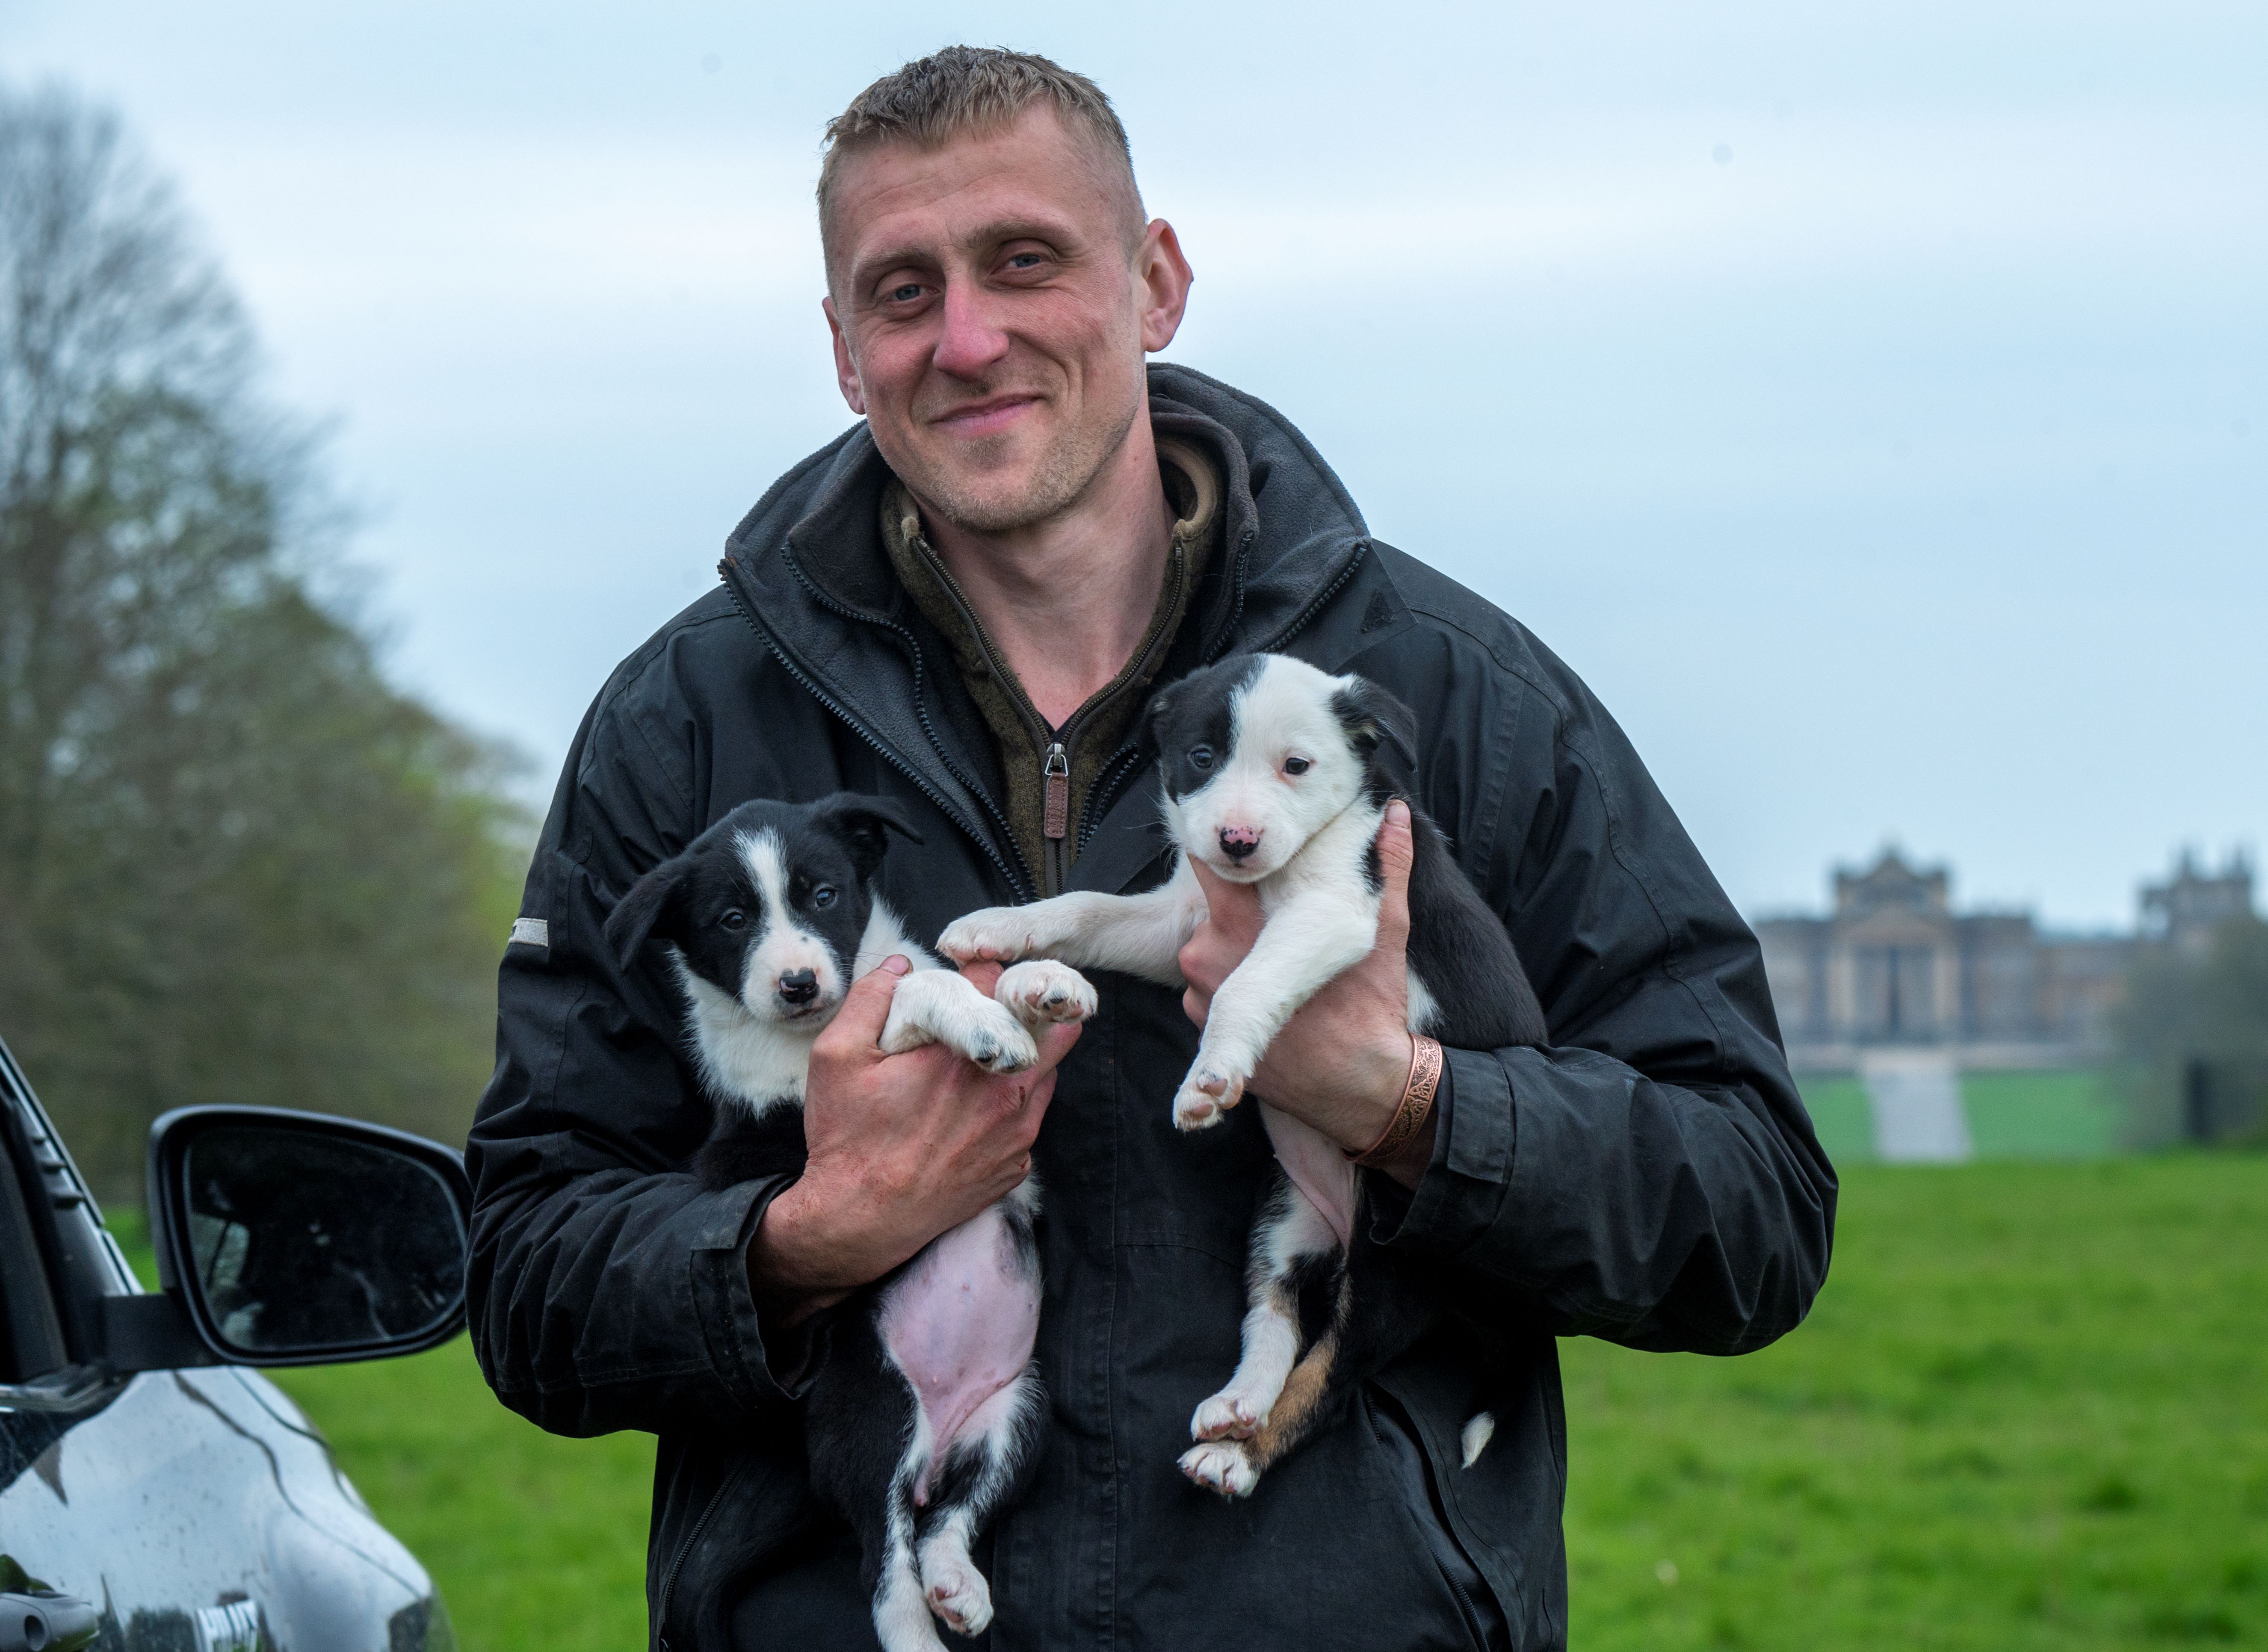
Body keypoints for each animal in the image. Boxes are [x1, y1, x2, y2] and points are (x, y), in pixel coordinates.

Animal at [603, 794, 1097, 1643]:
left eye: (822, 895)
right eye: (732, 918)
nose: (798, 983)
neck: (812, 1026)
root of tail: (933, 1449)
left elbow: (941, 973)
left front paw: (1038, 980)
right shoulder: (801, 1106)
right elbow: (912, 996)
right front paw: (983, 1021)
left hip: (1019, 1418)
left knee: (946, 1521)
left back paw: (958, 1585)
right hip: (873, 1408)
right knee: (883, 1556)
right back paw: (917, 1632)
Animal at [934, 653, 1542, 1498]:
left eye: (1297, 766)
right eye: (1201, 757)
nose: (1237, 839)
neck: (1272, 876)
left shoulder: (1332, 910)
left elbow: (1243, 985)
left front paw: (1209, 1078)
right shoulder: (1176, 923)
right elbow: (1087, 906)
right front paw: (1001, 933)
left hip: (1395, 1263)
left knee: (1329, 1373)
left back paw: (1239, 1455)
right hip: (1284, 1213)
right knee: (1273, 1317)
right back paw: (1234, 1406)